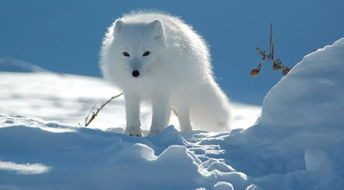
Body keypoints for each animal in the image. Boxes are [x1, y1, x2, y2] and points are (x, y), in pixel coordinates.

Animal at [101, 11, 231, 136]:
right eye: (126, 54)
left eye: (146, 53)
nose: (135, 73)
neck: (145, 80)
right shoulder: (131, 91)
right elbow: (132, 113)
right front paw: (132, 132)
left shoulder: (161, 91)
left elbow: (158, 117)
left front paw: (155, 134)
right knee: (168, 112)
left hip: (180, 94)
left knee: (183, 114)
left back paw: (185, 132)